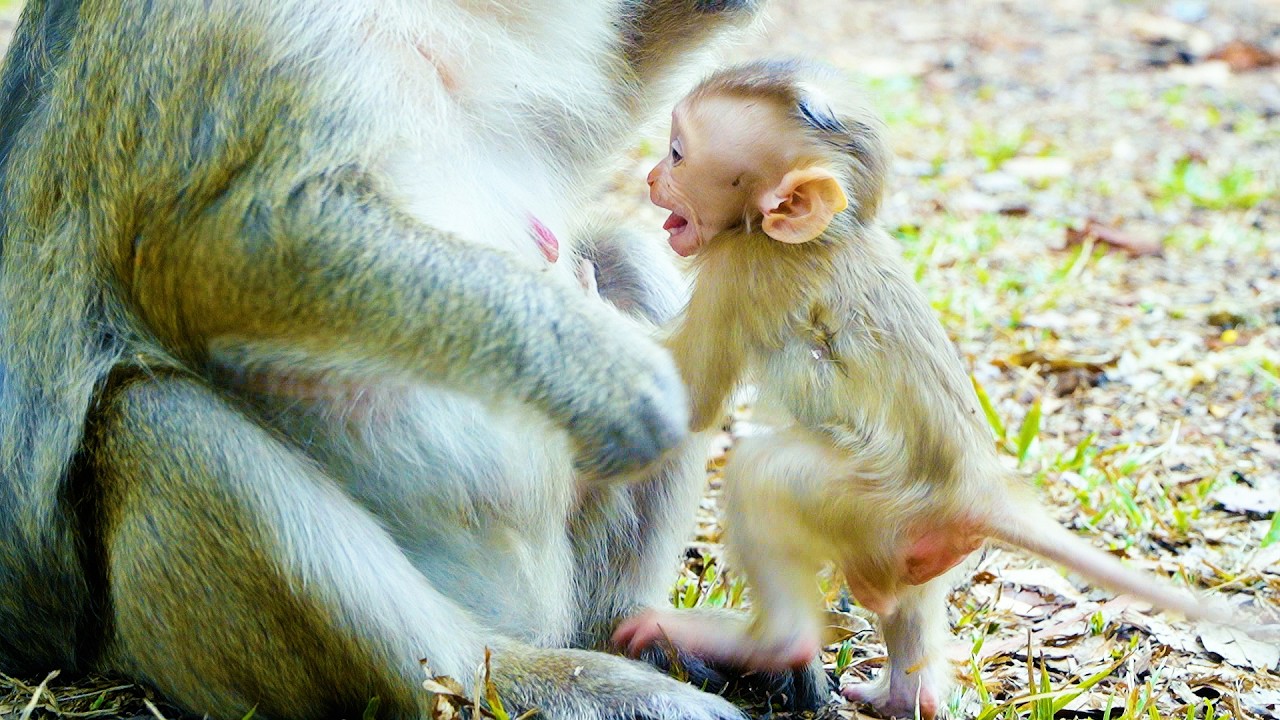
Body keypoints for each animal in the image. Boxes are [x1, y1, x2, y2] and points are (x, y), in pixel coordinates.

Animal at [0, 2, 849, 720]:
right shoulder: (231, 33)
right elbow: (218, 242)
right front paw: (607, 380)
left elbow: (597, 102)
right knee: (159, 420)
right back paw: (536, 682)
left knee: (629, 260)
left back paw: (632, 634)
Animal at [611, 60, 1250, 719]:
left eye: (679, 153)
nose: (654, 176)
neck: (822, 234)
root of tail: (978, 490)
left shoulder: (738, 268)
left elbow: (691, 396)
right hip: (913, 540)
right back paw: (906, 696)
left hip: (871, 501)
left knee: (764, 477)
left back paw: (768, 643)